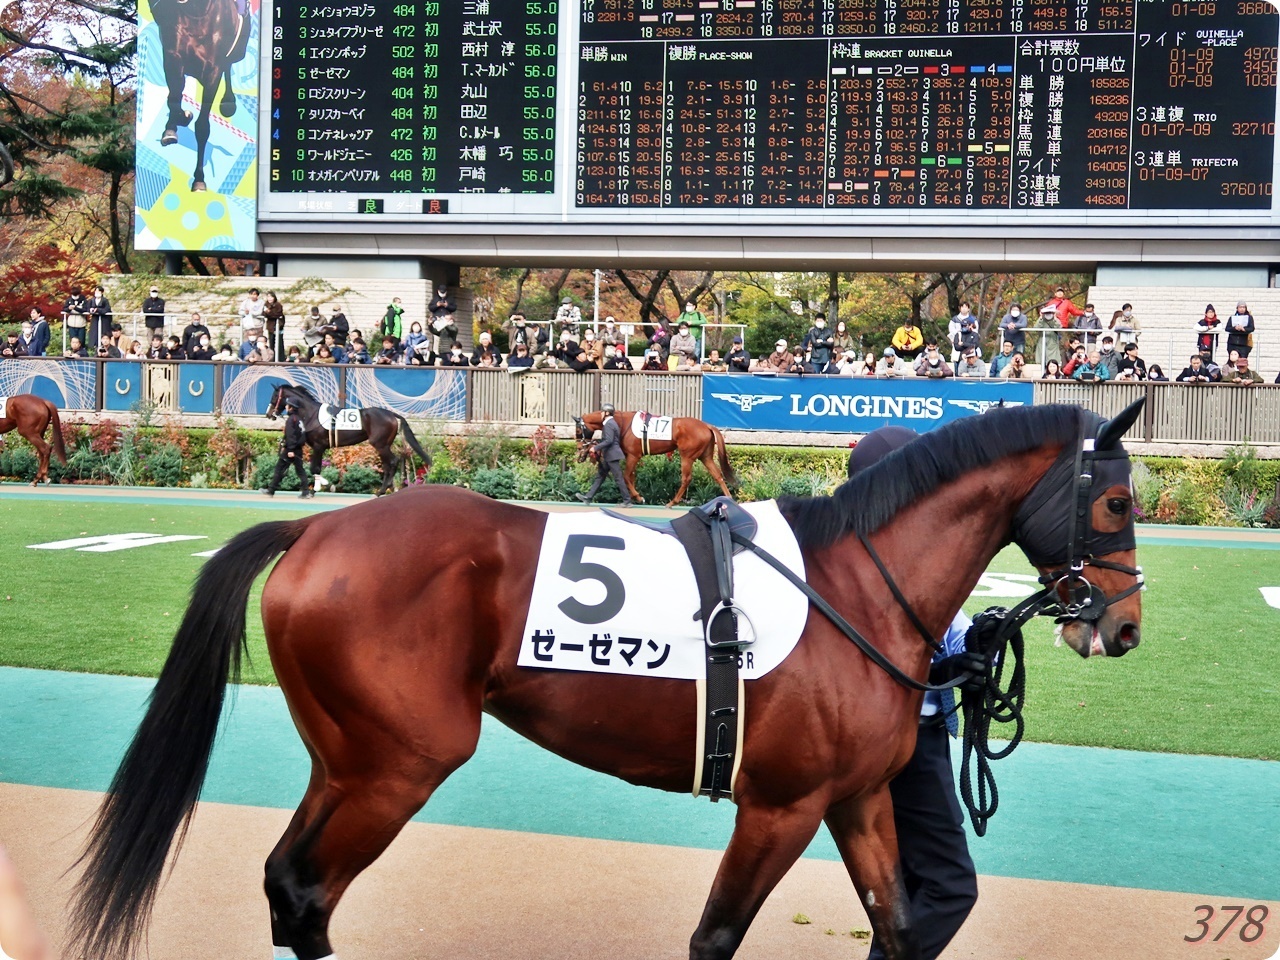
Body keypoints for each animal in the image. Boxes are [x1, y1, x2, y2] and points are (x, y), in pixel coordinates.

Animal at [151, 0, 252, 191]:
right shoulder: (174, 56)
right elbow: (174, 98)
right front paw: (175, 126)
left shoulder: (213, 70)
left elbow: (202, 126)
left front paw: (199, 180)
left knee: (229, 64)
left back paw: (228, 102)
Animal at [265, 383, 432, 496]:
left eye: (275, 397)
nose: (269, 414)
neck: (312, 414)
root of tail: (391, 414)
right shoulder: (318, 447)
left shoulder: (318, 446)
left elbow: (315, 468)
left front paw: (316, 489)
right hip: (383, 445)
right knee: (388, 464)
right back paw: (387, 489)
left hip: (380, 444)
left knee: (392, 462)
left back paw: (382, 490)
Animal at [574, 409, 736, 506]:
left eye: (578, 430)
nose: (579, 448)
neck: (623, 423)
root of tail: (707, 425)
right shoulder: (631, 456)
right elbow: (630, 477)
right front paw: (633, 497)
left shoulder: (633, 455)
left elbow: (626, 476)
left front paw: (638, 497)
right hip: (705, 456)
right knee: (718, 476)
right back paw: (729, 499)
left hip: (687, 456)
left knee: (686, 479)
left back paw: (672, 503)